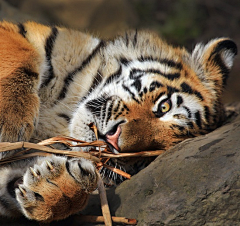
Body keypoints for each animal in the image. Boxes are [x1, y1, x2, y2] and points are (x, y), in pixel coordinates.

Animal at [0, 20, 237, 222]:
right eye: (164, 107)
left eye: (146, 159)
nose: (113, 141)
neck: (63, 114)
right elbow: (20, 52)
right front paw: (8, 124)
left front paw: (58, 187)